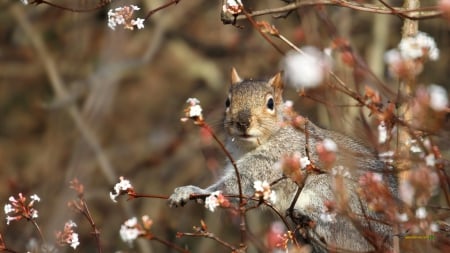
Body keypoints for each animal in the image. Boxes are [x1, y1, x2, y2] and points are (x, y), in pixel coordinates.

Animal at [170, 68, 398, 252]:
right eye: (227, 102)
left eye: (270, 103)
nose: (243, 122)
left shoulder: (271, 161)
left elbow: (233, 186)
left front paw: (190, 191)